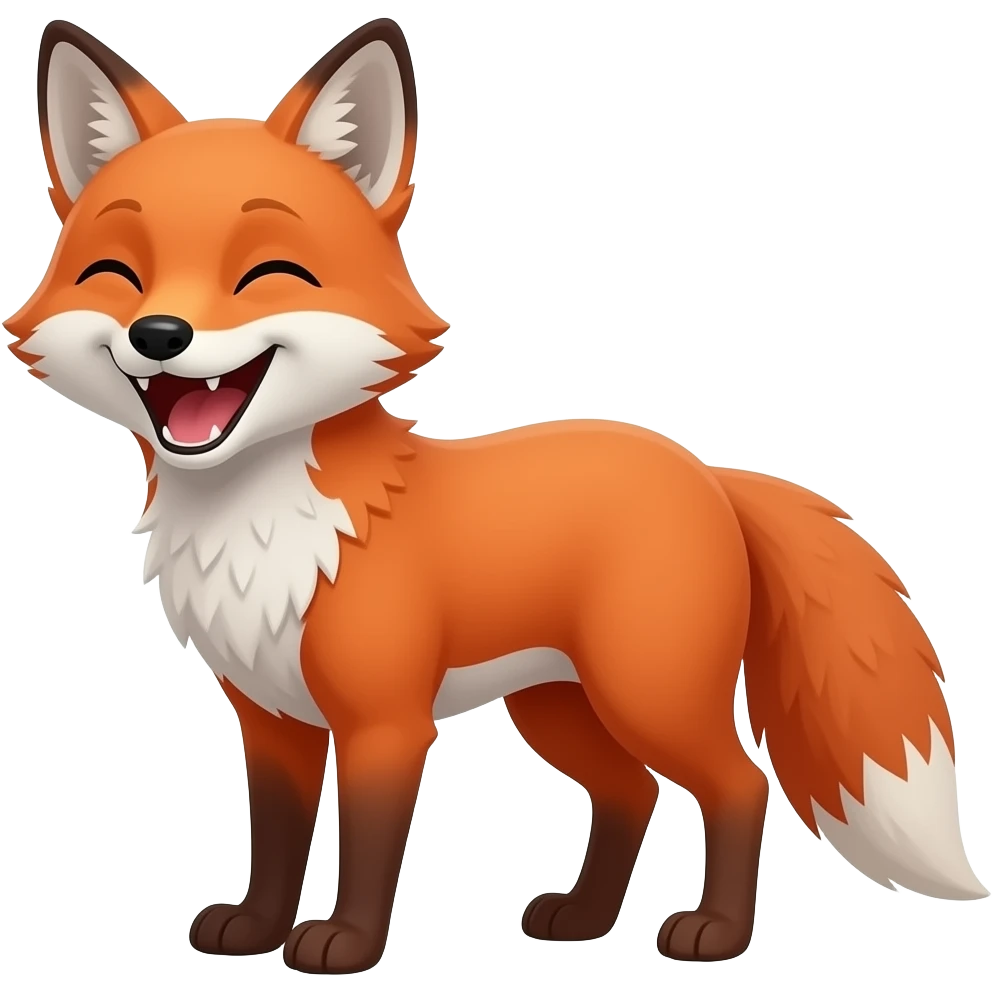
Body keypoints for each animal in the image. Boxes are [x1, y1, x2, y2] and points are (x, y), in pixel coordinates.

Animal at [5, 15, 987, 976]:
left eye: (266, 275)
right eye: (116, 276)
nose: (159, 334)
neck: (265, 525)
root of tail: (705, 470)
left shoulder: (386, 721)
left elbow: (368, 846)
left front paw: (344, 945)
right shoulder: (271, 718)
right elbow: (277, 841)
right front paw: (255, 928)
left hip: (647, 692)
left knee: (740, 783)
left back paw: (714, 933)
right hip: (557, 706)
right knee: (631, 792)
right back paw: (583, 918)